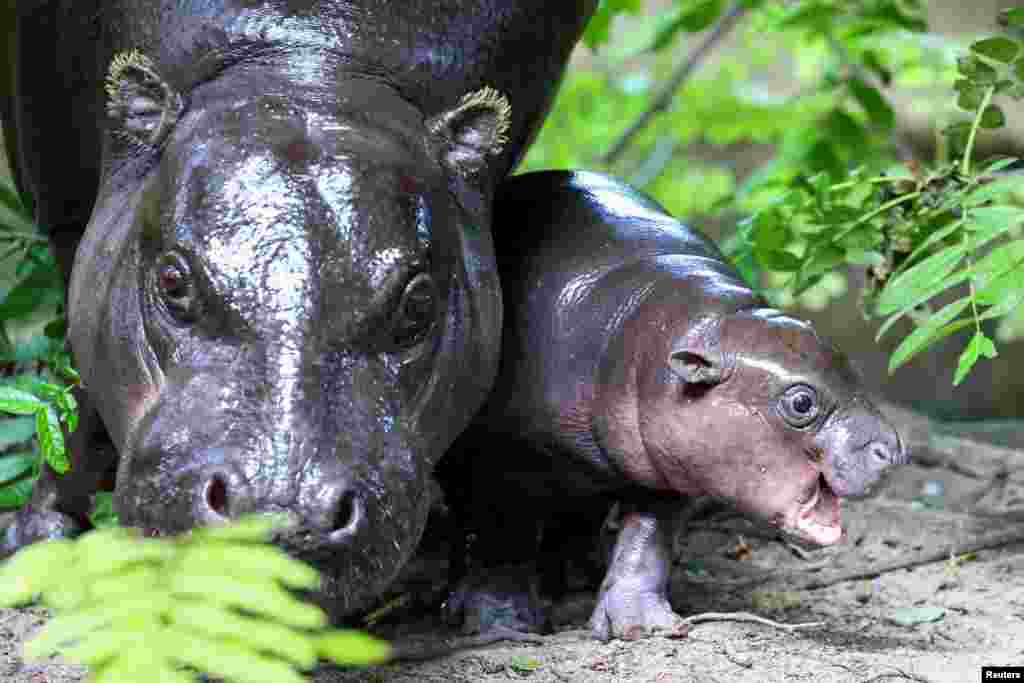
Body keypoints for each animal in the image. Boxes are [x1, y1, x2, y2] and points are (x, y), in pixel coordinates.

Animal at [0, 0, 598, 618]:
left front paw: (492, 601)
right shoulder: (64, 209)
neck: (305, 58)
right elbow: (77, 390)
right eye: (172, 281)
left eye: (418, 305)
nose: (279, 514)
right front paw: (38, 543)